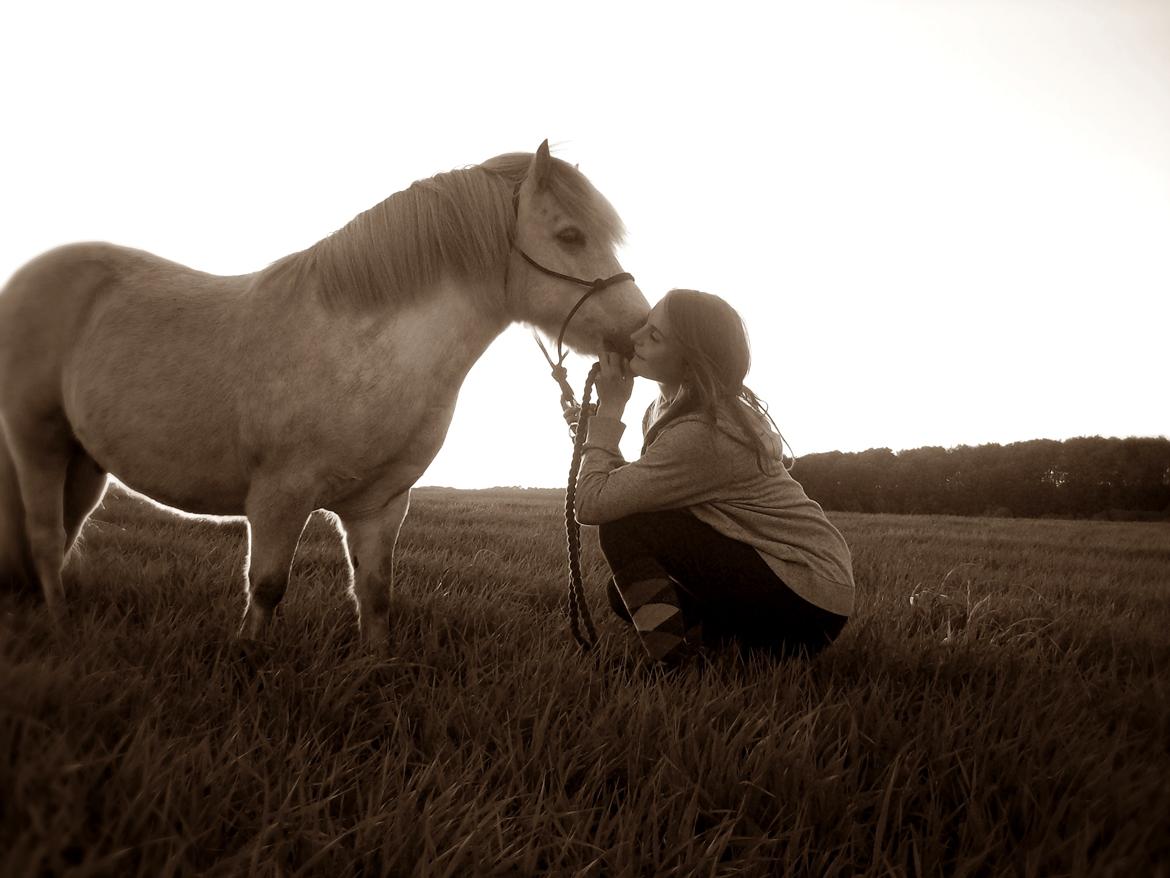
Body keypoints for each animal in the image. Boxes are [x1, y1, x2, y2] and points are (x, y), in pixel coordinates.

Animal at [0, 142, 650, 655]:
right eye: (570, 235)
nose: (639, 330)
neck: (360, 346)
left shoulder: (380, 506)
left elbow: (376, 595)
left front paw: (376, 669)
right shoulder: (278, 498)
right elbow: (266, 588)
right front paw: (248, 661)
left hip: (86, 462)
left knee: (64, 534)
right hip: (38, 443)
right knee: (46, 537)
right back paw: (60, 630)